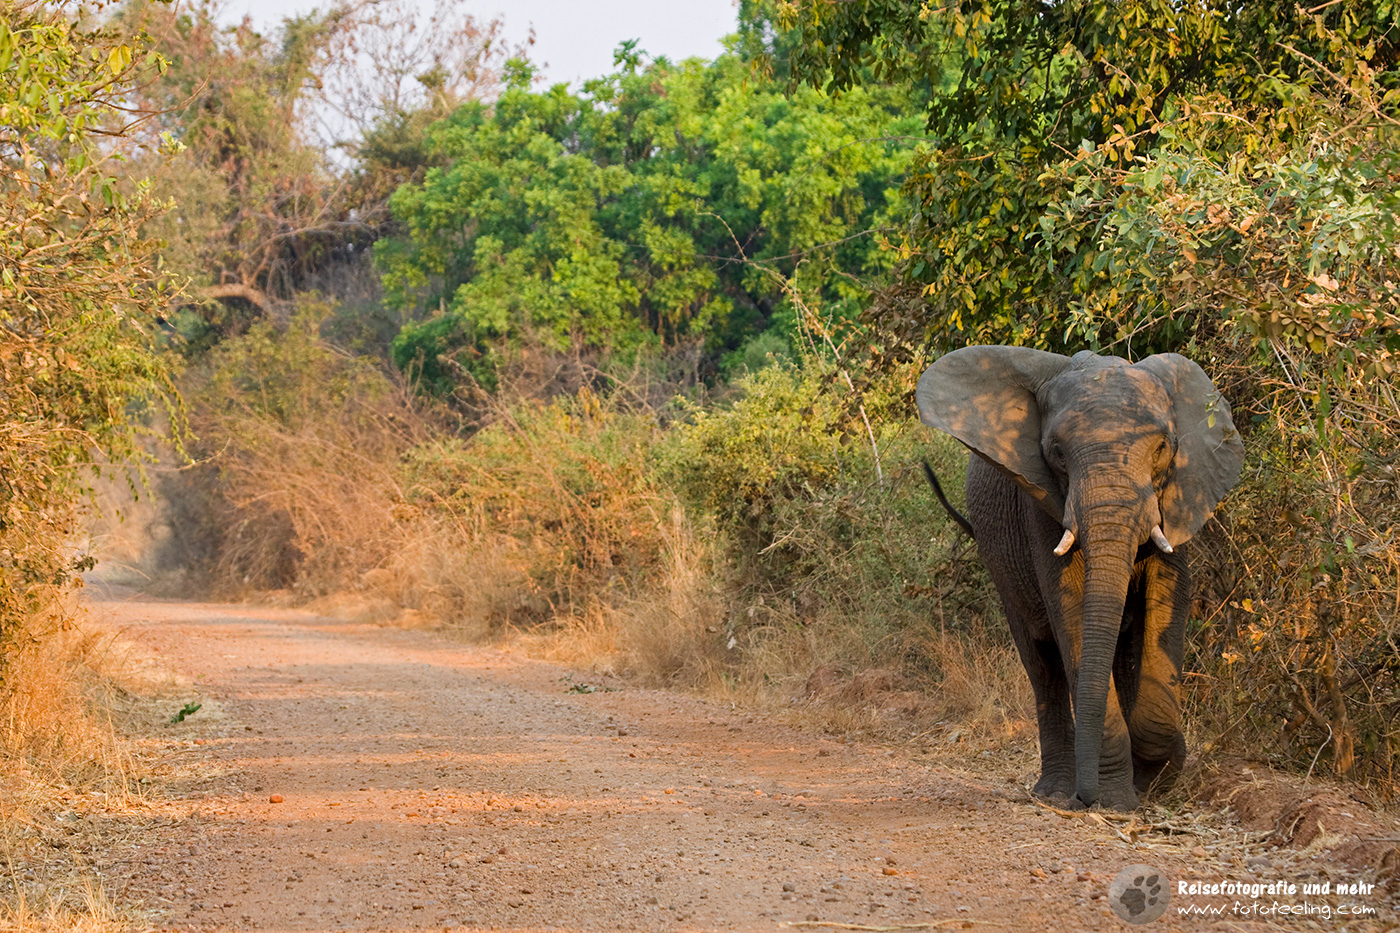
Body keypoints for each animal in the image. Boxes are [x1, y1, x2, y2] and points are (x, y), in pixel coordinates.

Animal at [916, 346, 1244, 810]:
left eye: (1163, 448)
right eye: (1056, 452)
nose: (1085, 798)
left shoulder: (1176, 495)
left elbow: (1167, 598)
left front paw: (1153, 777)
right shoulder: (1041, 502)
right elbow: (1070, 609)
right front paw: (1117, 800)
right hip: (999, 565)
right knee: (1042, 664)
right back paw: (1054, 791)